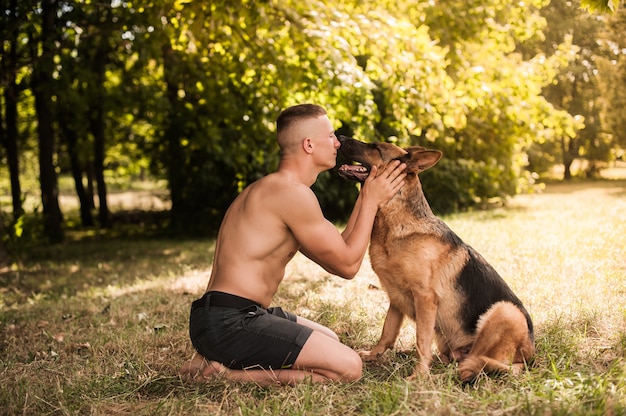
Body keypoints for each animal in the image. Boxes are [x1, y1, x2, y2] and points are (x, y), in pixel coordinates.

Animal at [336, 136, 532, 380]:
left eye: (376, 147)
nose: (340, 136)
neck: (395, 224)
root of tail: (529, 355)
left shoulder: (425, 298)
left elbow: (421, 339)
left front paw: (418, 376)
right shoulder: (395, 299)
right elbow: (387, 332)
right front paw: (374, 355)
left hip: (505, 311)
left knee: (474, 362)